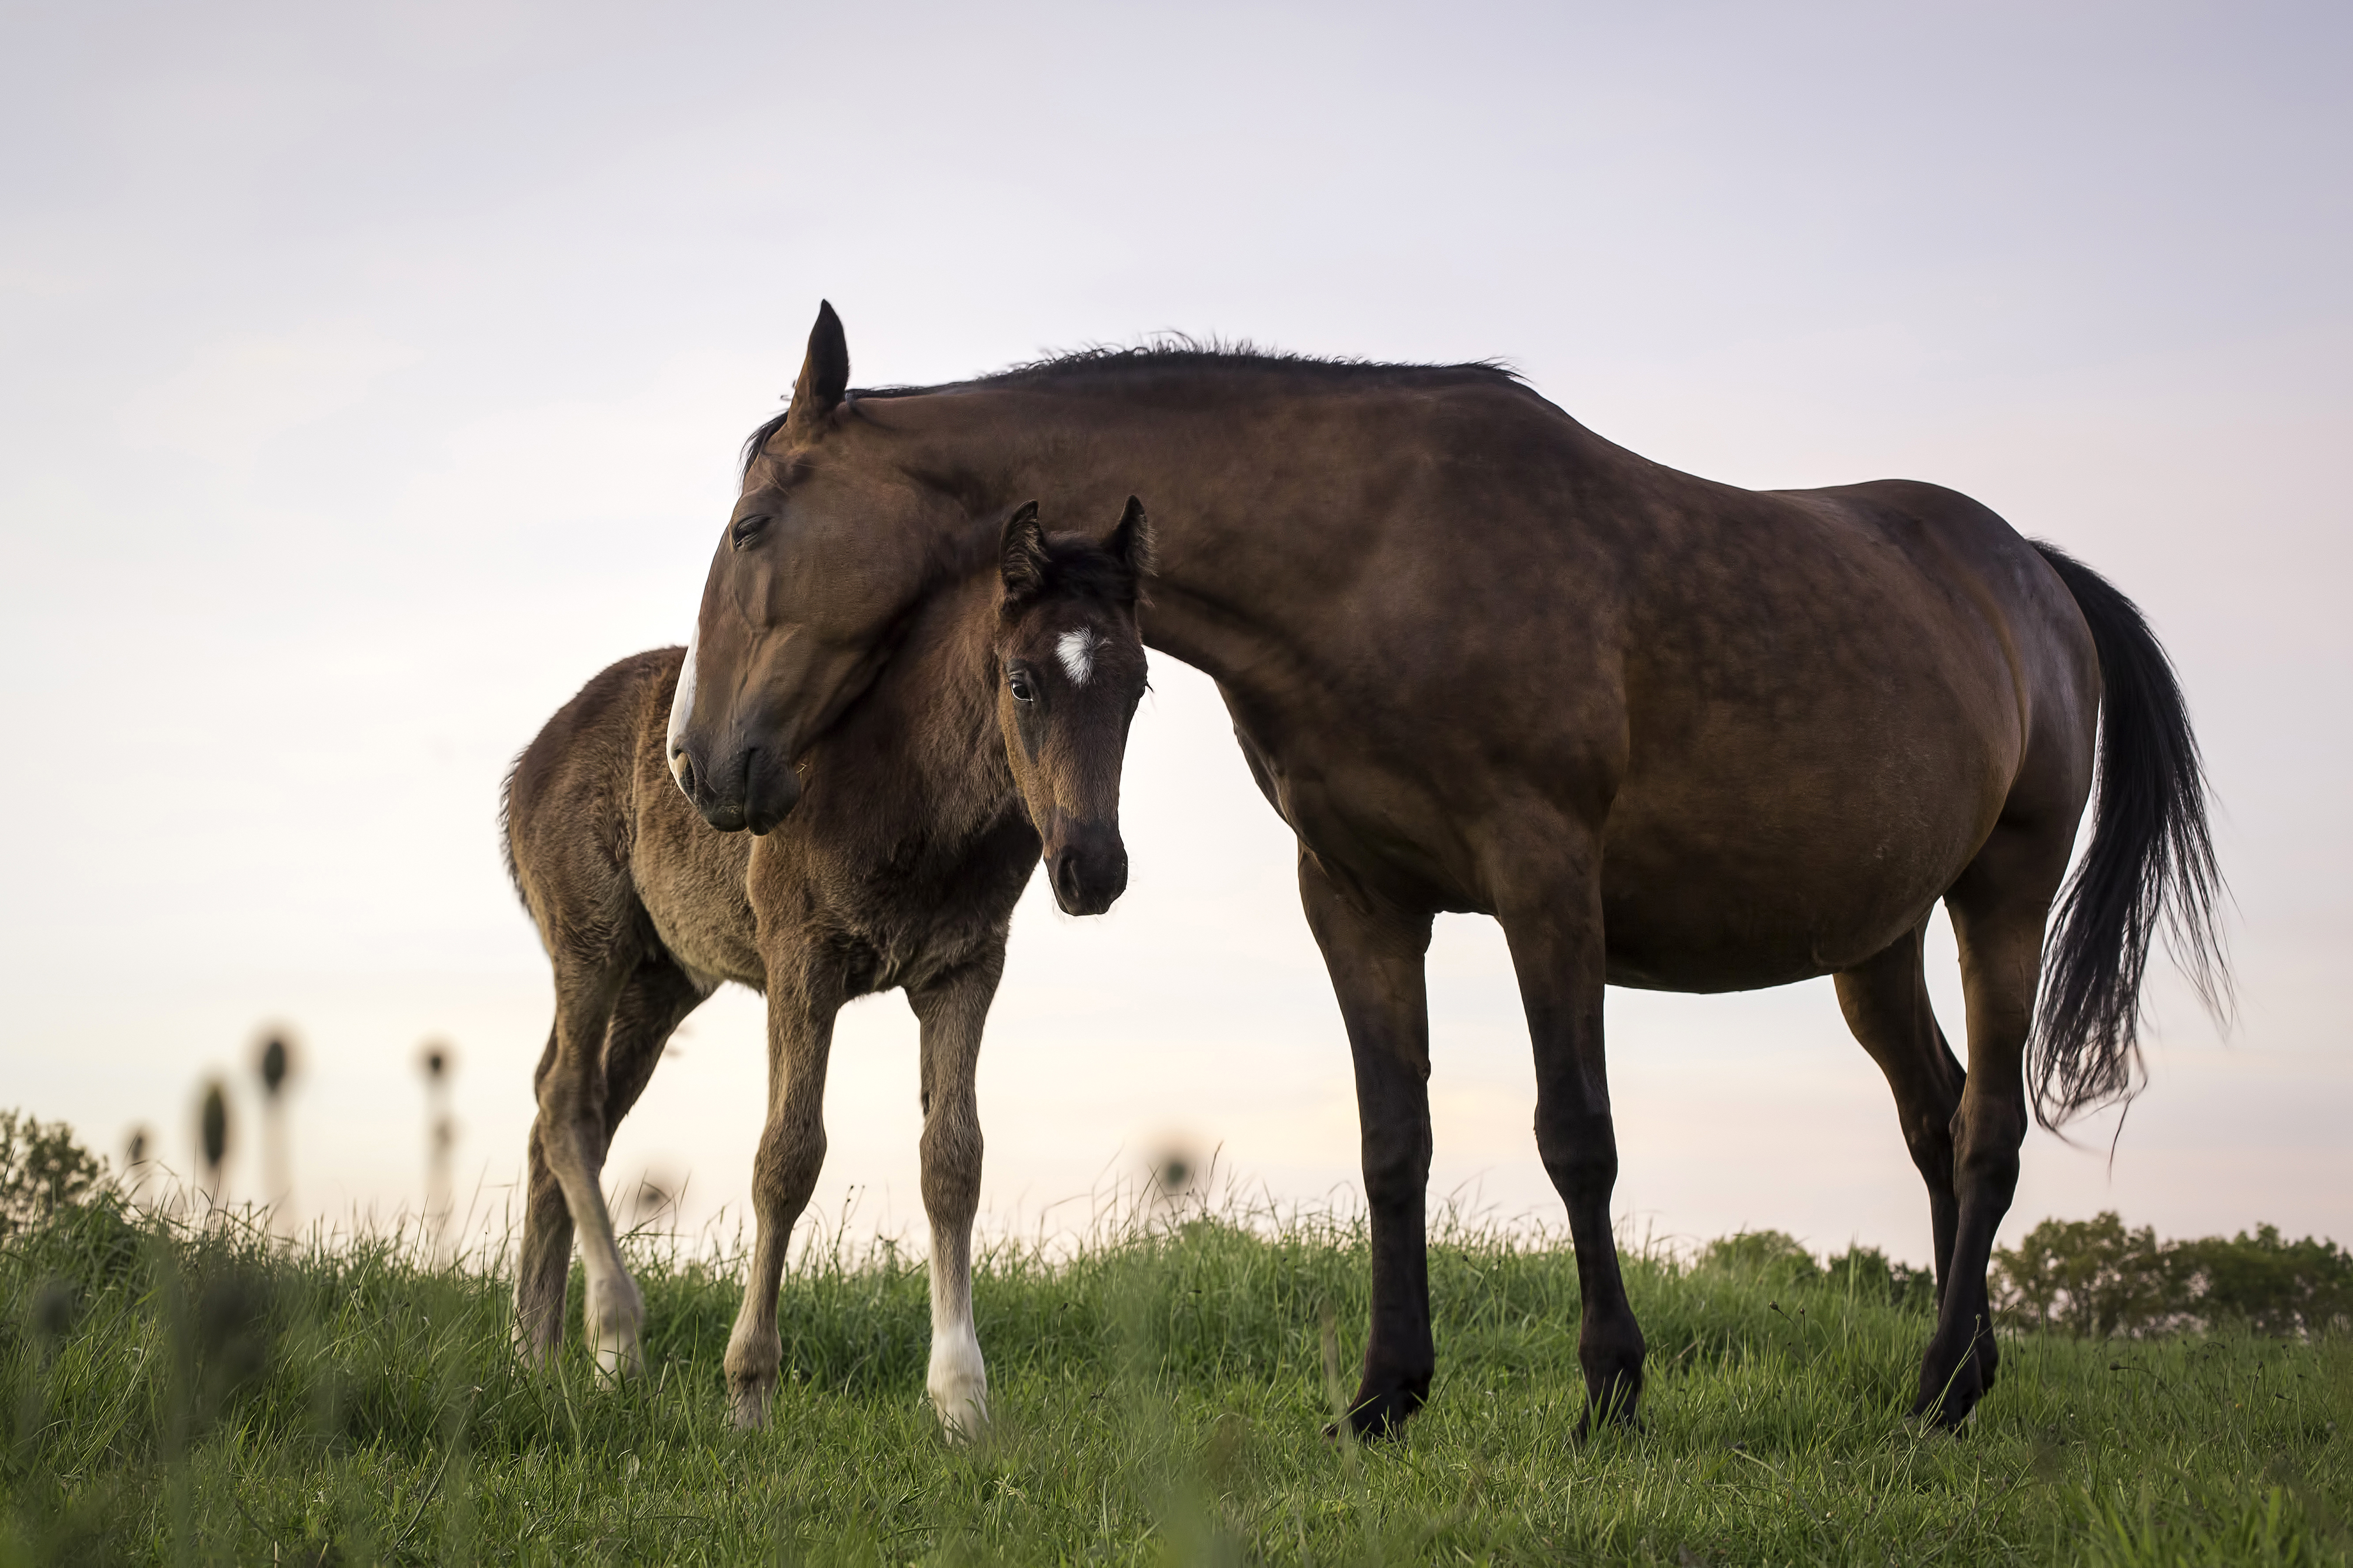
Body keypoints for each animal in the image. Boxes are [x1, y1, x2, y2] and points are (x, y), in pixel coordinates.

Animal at [503, 495, 1155, 1435]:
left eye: (1137, 687)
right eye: (1022, 681)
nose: (1093, 870)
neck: (911, 781)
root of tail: (530, 761)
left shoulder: (965, 967)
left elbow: (953, 1159)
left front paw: (962, 1403)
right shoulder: (800, 959)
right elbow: (787, 1157)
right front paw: (748, 1393)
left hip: (664, 980)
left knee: (564, 1112)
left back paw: (537, 1352)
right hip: (592, 944)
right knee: (566, 1103)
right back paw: (614, 1336)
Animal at [666, 303, 2226, 1436]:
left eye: (750, 527)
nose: (700, 759)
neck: (1375, 551)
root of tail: (2031, 573)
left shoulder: (1546, 884)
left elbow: (1574, 1133)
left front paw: (1608, 1390)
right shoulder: (1356, 896)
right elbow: (1391, 1141)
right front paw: (1383, 1394)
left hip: (2002, 895)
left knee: (1987, 1129)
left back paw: (1935, 1391)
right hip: (1874, 939)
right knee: (1933, 1120)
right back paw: (1962, 1372)